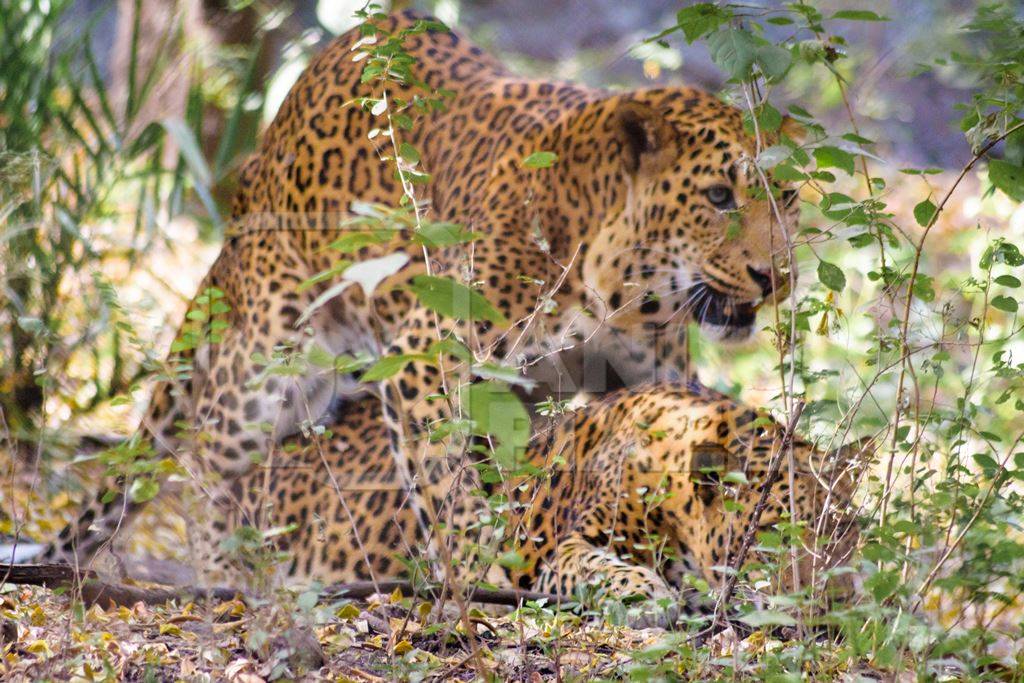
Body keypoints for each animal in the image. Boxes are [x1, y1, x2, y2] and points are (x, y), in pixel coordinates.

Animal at [46, 10, 798, 565]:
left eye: (786, 195)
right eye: (718, 196)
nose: (777, 275)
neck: (623, 288)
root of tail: (264, 150)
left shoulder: (643, 375)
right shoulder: (427, 353)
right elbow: (446, 480)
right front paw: (475, 565)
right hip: (267, 369)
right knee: (207, 460)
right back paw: (222, 569)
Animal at [207, 382, 864, 626]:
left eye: (846, 537)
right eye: (773, 533)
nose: (833, 603)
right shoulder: (554, 550)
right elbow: (600, 569)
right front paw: (652, 597)